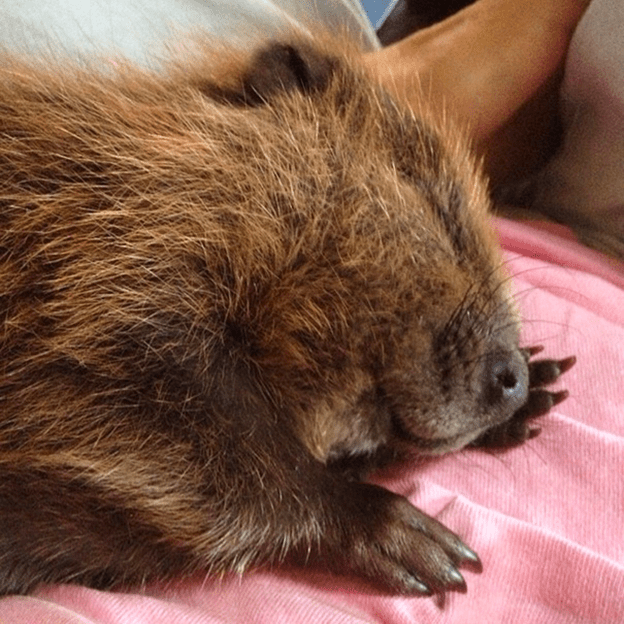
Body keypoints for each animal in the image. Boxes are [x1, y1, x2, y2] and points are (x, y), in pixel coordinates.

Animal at [0, 33, 576, 596]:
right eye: (433, 202)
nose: (512, 378)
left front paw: (540, 384)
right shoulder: (102, 298)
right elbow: (189, 433)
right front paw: (409, 537)